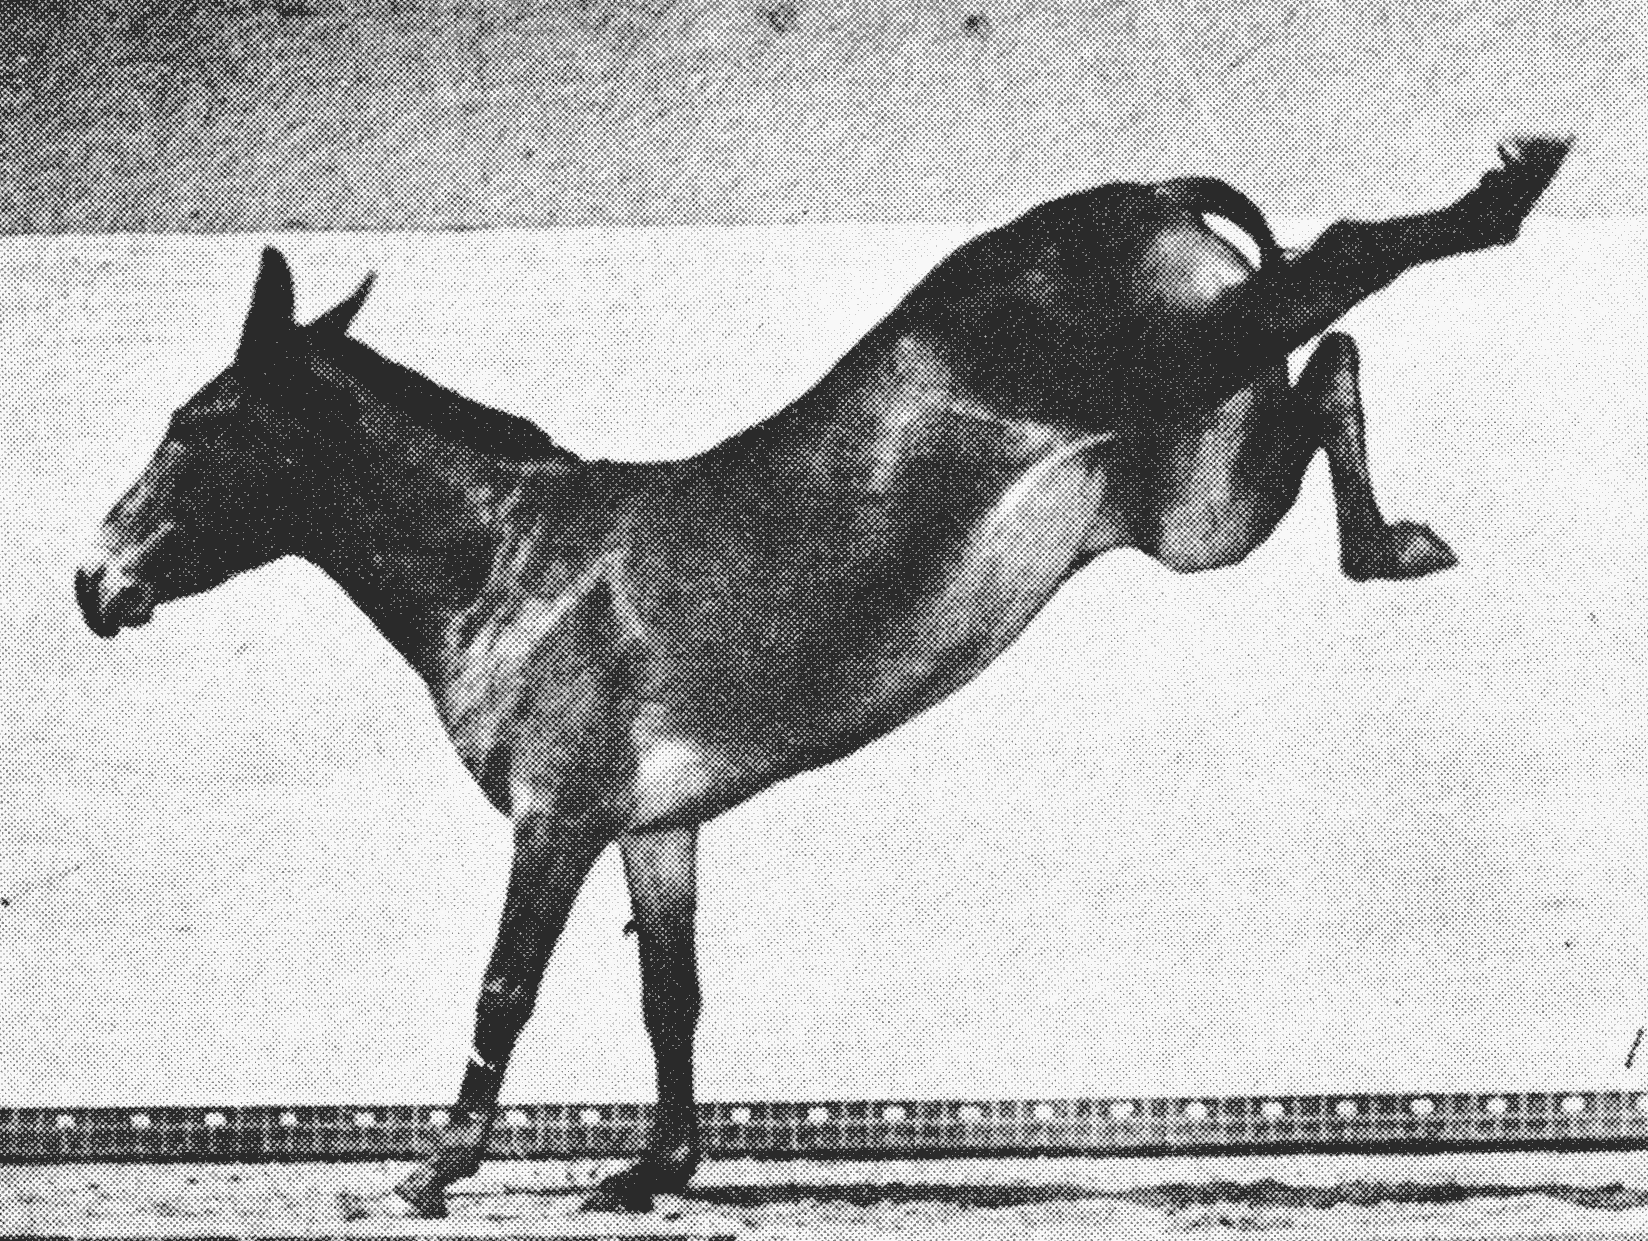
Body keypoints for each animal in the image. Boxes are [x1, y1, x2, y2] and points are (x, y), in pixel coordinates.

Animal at [76, 136, 1569, 1217]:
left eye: (199, 424)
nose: (94, 583)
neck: (511, 563)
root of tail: (1144, 192)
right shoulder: (657, 828)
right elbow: (669, 996)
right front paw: (651, 1171)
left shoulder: (556, 820)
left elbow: (505, 984)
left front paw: (431, 1170)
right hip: (1203, 503)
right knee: (1331, 364)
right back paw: (1397, 541)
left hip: (1200, 396)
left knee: (1350, 269)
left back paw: (1509, 191)